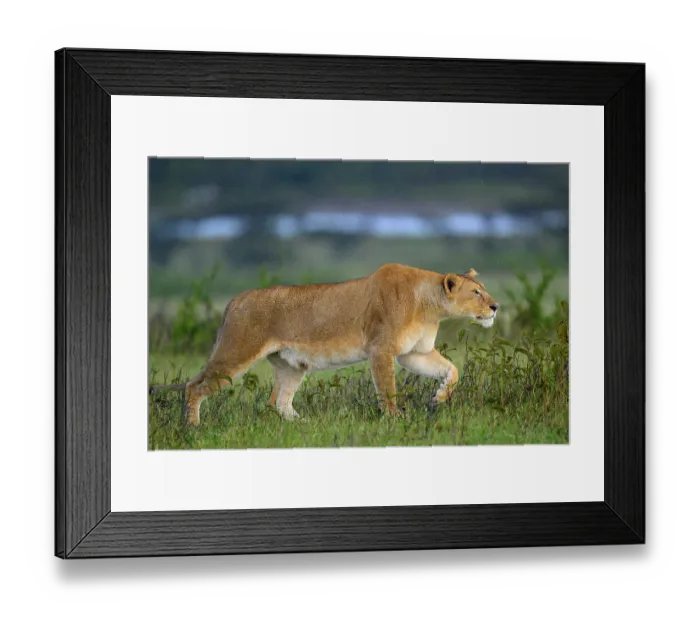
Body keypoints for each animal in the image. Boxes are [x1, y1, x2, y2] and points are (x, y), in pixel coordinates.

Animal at [155, 264, 499, 425]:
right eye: (476, 293)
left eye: (485, 289)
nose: (496, 307)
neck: (430, 307)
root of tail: (234, 300)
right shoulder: (382, 350)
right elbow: (387, 389)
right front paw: (395, 419)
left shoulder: (415, 353)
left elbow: (452, 371)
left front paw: (438, 398)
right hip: (236, 352)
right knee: (194, 387)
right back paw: (193, 428)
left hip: (292, 366)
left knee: (279, 403)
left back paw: (303, 424)